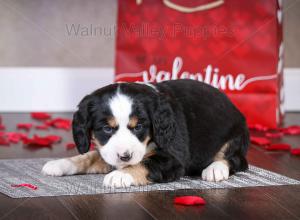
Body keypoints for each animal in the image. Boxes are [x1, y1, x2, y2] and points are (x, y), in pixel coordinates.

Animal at [41, 79, 248, 187]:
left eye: (139, 126)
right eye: (107, 129)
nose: (125, 156)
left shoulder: (174, 159)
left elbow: (146, 163)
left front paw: (120, 175)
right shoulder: (108, 151)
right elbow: (89, 156)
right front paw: (60, 163)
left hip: (235, 136)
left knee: (235, 159)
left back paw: (215, 169)